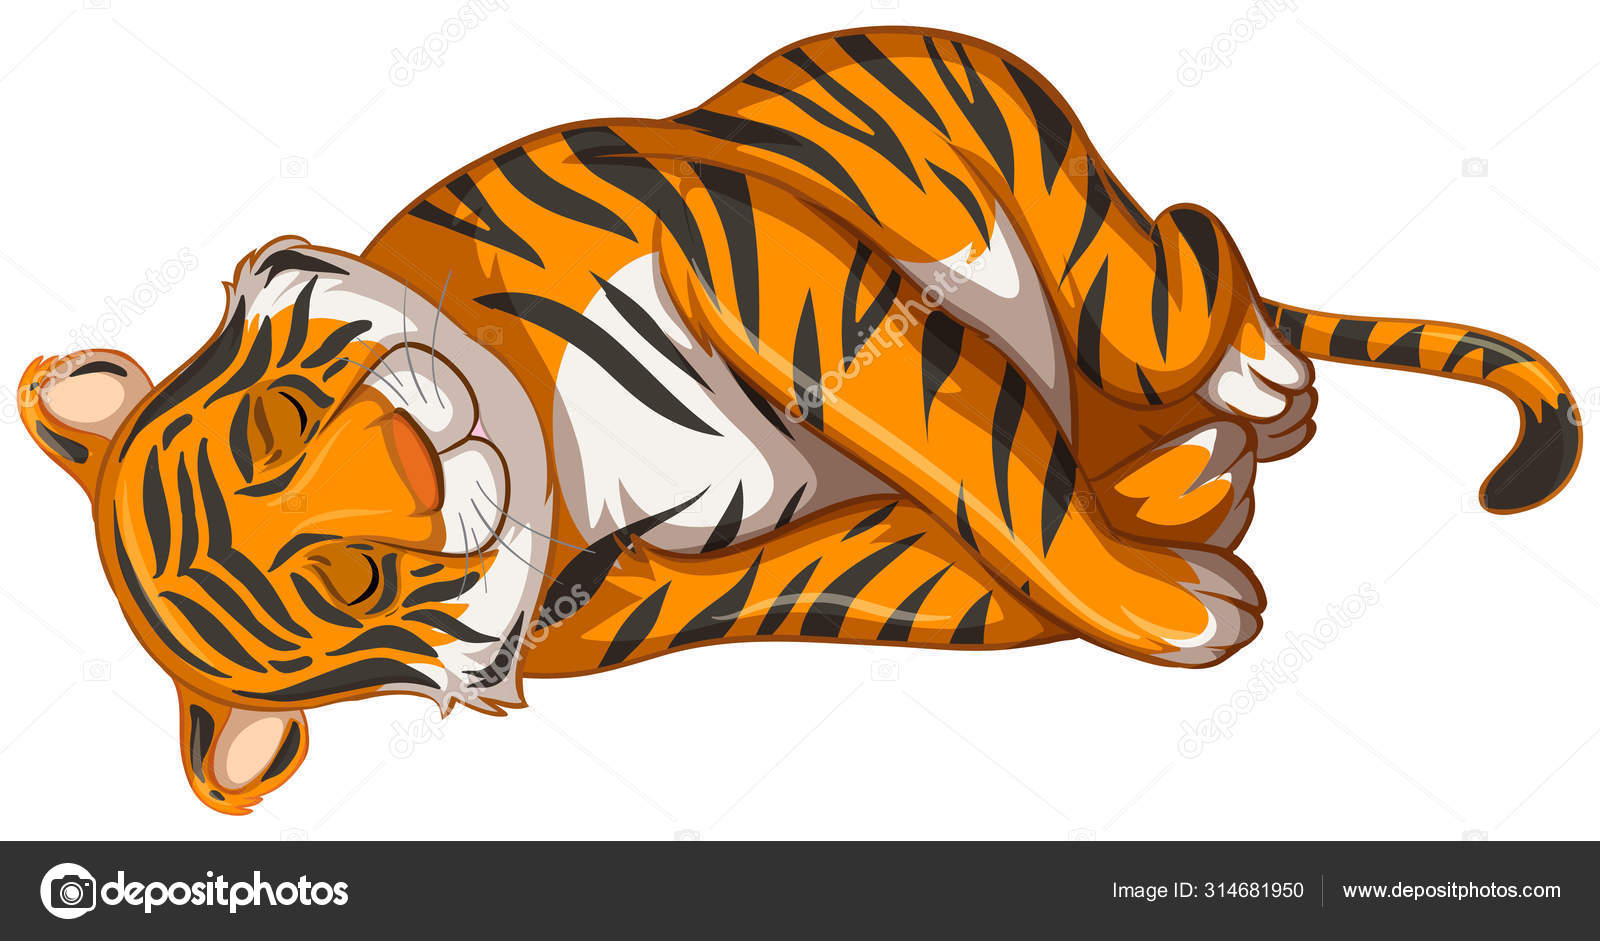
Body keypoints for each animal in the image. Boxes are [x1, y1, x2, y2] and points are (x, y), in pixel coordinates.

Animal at [19, 28, 1580, 815]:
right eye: (346, 576)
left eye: (286, 424)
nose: (415, 456)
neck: (556, 471)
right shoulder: (716, 587)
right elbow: (961, 563)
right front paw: (1189, 576)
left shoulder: (773, 271)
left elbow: (988, 464)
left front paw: (1165, 560)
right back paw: (1199, 451)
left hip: (1095, 252)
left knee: (1192, 251)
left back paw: (1254, 382)